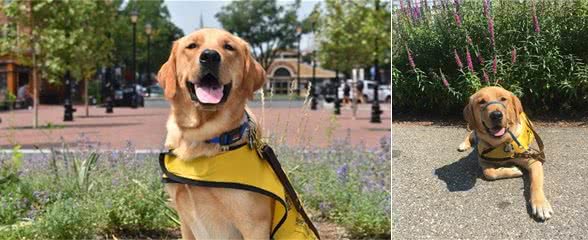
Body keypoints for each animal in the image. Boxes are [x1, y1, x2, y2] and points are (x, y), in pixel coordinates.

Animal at [156, 29, 320, 239]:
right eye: (192, 46)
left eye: (229, 47)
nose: (210, 56)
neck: (201, 137)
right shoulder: (185, 220)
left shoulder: (255, 224)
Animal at [458, 86, 552, 221]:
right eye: (481, 102)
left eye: (503, 99)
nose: (496, 115)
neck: (501, 143)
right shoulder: (484, 161)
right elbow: (489, 173)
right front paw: (514, 170)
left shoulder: (533, 160)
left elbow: (535, 184)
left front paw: (540, 204)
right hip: (473, 131)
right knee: (471, 133)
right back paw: (463, 144)